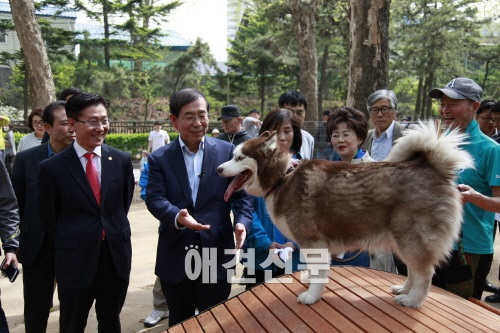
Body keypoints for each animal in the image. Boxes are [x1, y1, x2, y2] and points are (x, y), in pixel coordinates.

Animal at [218, 120, 472, 308]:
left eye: (239, 157)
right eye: (233, 155)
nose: (219, 169)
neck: (282, 178)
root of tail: (432, 167)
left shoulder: (313, 241)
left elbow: (319, 270)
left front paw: (312, 296)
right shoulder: (312, 244)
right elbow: (315, 269)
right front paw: (311, 281)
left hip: (412, 239)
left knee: (425, 273)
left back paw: (412, 300)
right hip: (402, 242)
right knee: (412, 270)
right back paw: (404, 289)